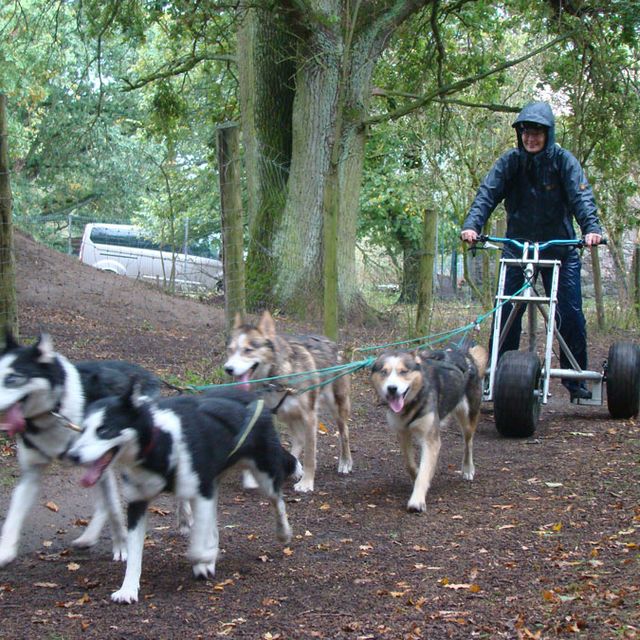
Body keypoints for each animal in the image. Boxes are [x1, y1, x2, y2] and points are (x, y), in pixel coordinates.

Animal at [225, 312, 352, 492]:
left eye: (248, 350)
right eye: (230, 350)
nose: (228, 369)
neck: (277, 376)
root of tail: (333, 344)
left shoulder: (310, 417)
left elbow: (310, 455)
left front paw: (306, 483)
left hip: (337, 408)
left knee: (344, 434)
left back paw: (345, 462)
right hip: (286, 414)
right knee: (298, 439)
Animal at [368, 342, 488, 512]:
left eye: (403, 371)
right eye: (384, 372)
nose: (392, 388)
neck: (412, 403)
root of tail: (462, 352)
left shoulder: (431, 441)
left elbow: (424, 474)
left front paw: (417, 500)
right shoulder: (402, 433)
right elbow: (410, 464)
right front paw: (417, 473)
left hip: (468, 418)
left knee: (468, 443)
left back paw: (467, 468)